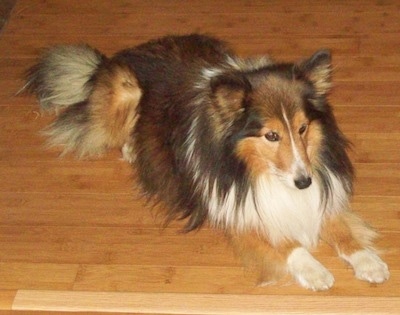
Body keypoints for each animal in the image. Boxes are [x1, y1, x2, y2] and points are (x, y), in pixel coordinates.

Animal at [24, 34, 388, 292]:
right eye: (271, 136)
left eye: (302, 129)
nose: (304, 182)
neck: (260, 174)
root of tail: (112, 58)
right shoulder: (239, 213)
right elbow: (285, 243)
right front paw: (315, 270)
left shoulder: (318, 195)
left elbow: (341, 227)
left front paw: (367, 261)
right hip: (126, 92)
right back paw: (132, 148)